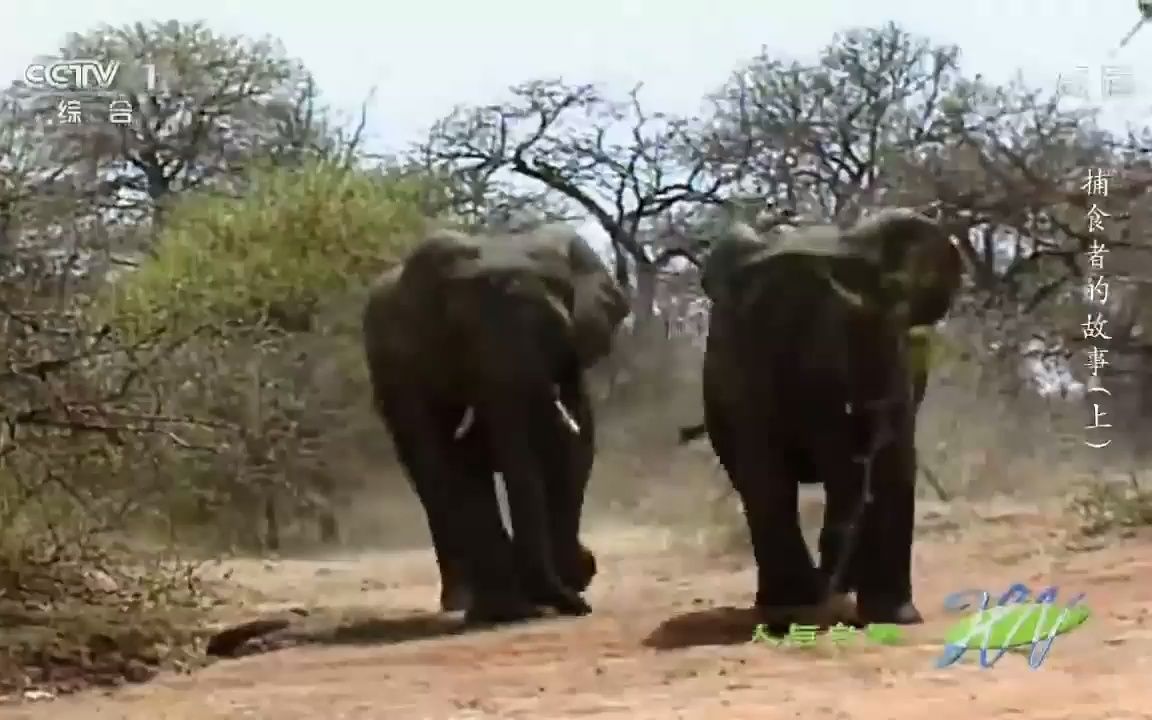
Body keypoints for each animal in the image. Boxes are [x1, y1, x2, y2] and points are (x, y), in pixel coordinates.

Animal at [361, 223, 626, 622]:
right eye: (461, 338)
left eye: (556, 331)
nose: (581, 605)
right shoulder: (412, 368)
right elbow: (450, 464)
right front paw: (507, 611)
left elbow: (570, 453)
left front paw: (568, 587)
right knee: (432, 486)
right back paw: (462, 602)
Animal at [691, 205, 963, 626]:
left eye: (862, 318)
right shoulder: (741, 372)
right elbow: (766, 473)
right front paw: (794, 610)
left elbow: (894, 463)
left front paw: (896, 618)